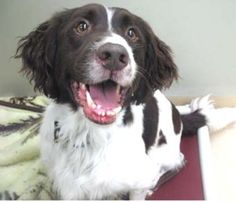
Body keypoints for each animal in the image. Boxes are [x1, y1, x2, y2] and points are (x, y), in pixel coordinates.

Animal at [15, 3, 206, 200]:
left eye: (132, 33)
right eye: (81, 26)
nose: (114, 55)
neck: (87, 134)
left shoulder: (140, 179)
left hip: (166, 154)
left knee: (176, 163)